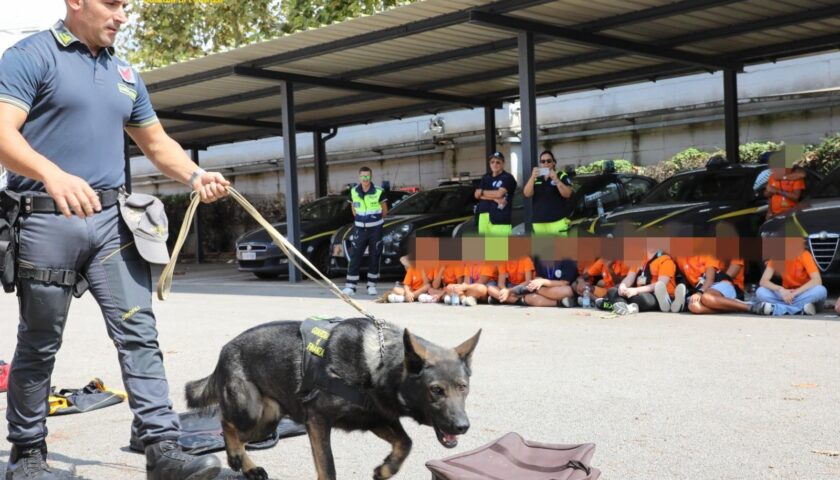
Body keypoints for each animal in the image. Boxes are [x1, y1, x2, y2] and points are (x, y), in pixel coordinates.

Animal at [187, 318, 482, 480]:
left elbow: (405, 443)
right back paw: (236, 458)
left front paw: (387, 469)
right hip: (250, 412)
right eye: (436, 390)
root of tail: (226, 349)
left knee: (234, 431)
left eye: (463, 387)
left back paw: (248, 467)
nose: (462, 427)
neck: (378, 364)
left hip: (267, 421)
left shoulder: (375, 419)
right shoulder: (318, 421)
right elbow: (327, 468)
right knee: (226, 423)